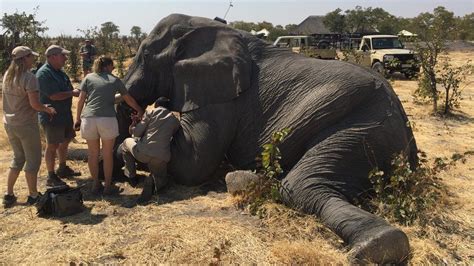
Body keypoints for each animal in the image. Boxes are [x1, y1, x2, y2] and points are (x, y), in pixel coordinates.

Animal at [115, 13, 418, 262]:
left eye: (144, 56)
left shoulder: (221, 96)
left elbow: (193, 165)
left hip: (363, 124)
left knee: (299, 186)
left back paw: (378, 246)